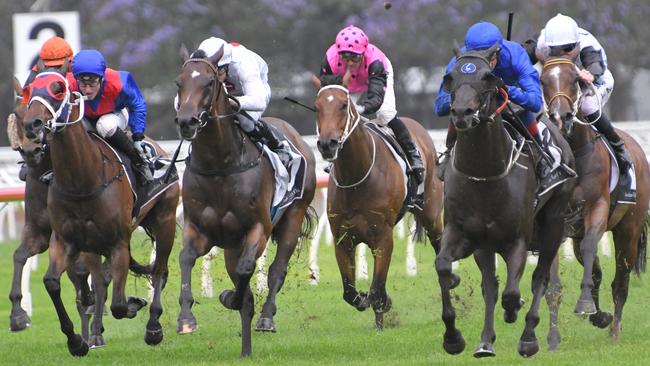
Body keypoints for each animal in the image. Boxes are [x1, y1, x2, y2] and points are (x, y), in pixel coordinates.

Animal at [21, 67, 178, 356]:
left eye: (58, 89)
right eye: (29, 90)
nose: (32, 124)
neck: (82, 179)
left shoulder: (118, 243)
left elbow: (117, 305)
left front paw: (132, 305)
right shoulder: (65, 240)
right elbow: (53, 283)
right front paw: (76, 341)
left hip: (166, 221)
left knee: (159, 271)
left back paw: (153, 328)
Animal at [172, 44, 314, 356]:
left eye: (209, 82)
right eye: (179, 82)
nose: (186, 122)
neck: (220, 165)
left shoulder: (257, 228)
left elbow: (247, 271)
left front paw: (230, 298)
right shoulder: (199, 229)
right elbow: (186, 257)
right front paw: (186, 318)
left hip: (292, 218)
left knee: (276, 271)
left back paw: (266, 318)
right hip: (231, 245)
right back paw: (246, 346)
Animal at [310, 73, 442, 330]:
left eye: (344, 105)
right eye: (316, 107)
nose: (327, 144)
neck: (357, 176)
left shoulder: (383, 238)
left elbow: (378, 287)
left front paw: (381, 308)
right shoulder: (342, 239)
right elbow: (350, 292)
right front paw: (367, 301)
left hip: (431, 213)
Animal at [432, 45, 576, 358]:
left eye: (488, 77)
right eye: (449, 77)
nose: (461, 112)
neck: (485, 172)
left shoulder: (518, 238)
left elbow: (513, 291)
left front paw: (514, 313)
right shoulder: (463, 234)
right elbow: (445, 268)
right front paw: (453, 337)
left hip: (553, 223)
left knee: (540, 278)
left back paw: (528, 336)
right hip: (485, 245)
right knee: (490, 285)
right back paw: (485, 341)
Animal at [536, 54, 648, 340]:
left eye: (575, 78)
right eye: (543, 80)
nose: (561, 116)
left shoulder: (597, 208)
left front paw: (588, 306)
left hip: (628, 230)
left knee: (621, 280)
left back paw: (615, 330)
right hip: (576, 234)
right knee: (596, 270)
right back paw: (602, 317)